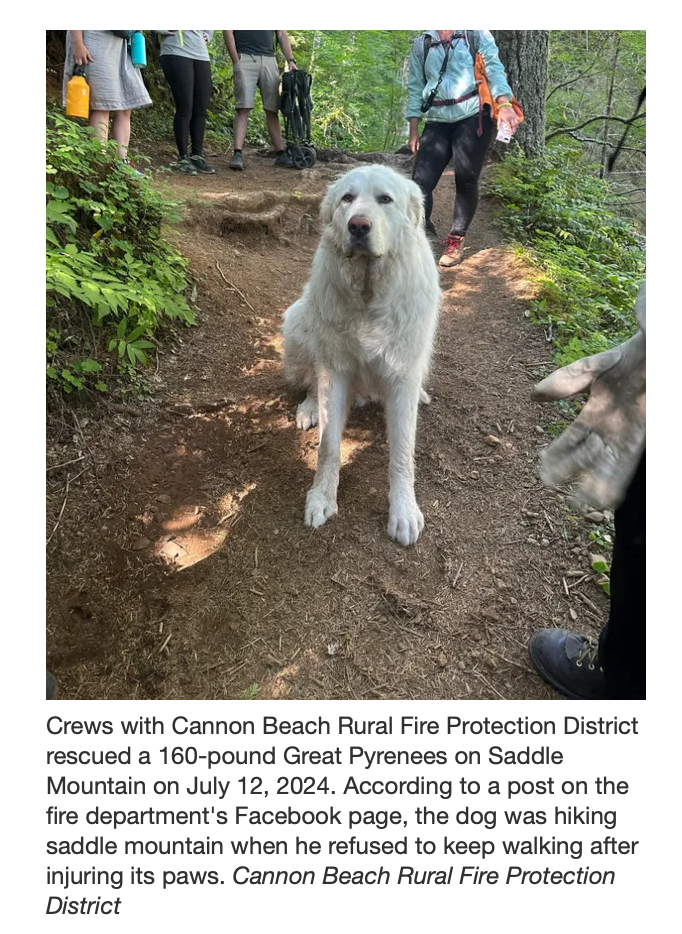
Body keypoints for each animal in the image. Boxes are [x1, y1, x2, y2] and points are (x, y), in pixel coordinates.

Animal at [282, 164, 440, 544]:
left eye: (385, 199)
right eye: (347, 198)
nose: (358, 226)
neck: (369, 293)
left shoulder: (401, 375)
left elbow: (403, 453)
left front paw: (404, 512)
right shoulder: (336, 371)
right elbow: (328, 447)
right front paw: (321, 498)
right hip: (298, 321)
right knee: (311, 379)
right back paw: (309, 406)